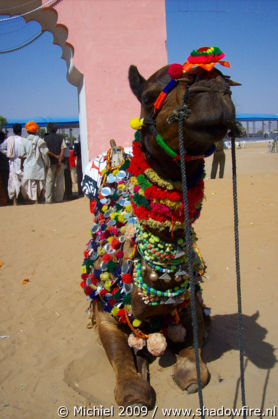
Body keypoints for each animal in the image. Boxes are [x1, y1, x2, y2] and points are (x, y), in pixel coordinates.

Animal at [80, 46, 239, 410]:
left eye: (226, 83)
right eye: (149, 95)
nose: (212, 87)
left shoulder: (192, 301)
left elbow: (195, 349)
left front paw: (189, 373)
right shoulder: (107, 311)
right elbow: (120, 352)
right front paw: (134, 391)